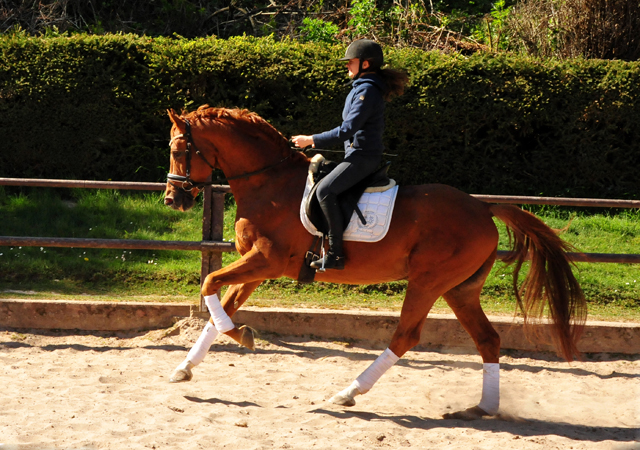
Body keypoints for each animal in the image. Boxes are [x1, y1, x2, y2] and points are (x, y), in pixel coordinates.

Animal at [164, 106, 584, 422]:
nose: (172, 200)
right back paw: (483, 408)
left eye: (180, 151)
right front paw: (188, 364)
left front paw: (241, 336)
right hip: (459, 289)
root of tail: (483, 207)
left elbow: (210, 284)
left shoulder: (265, 261)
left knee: (406, 337)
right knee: (488, 340)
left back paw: (348, 392)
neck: (269, 184)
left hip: (428, 282)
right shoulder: (256, 267)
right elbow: (220, 304)